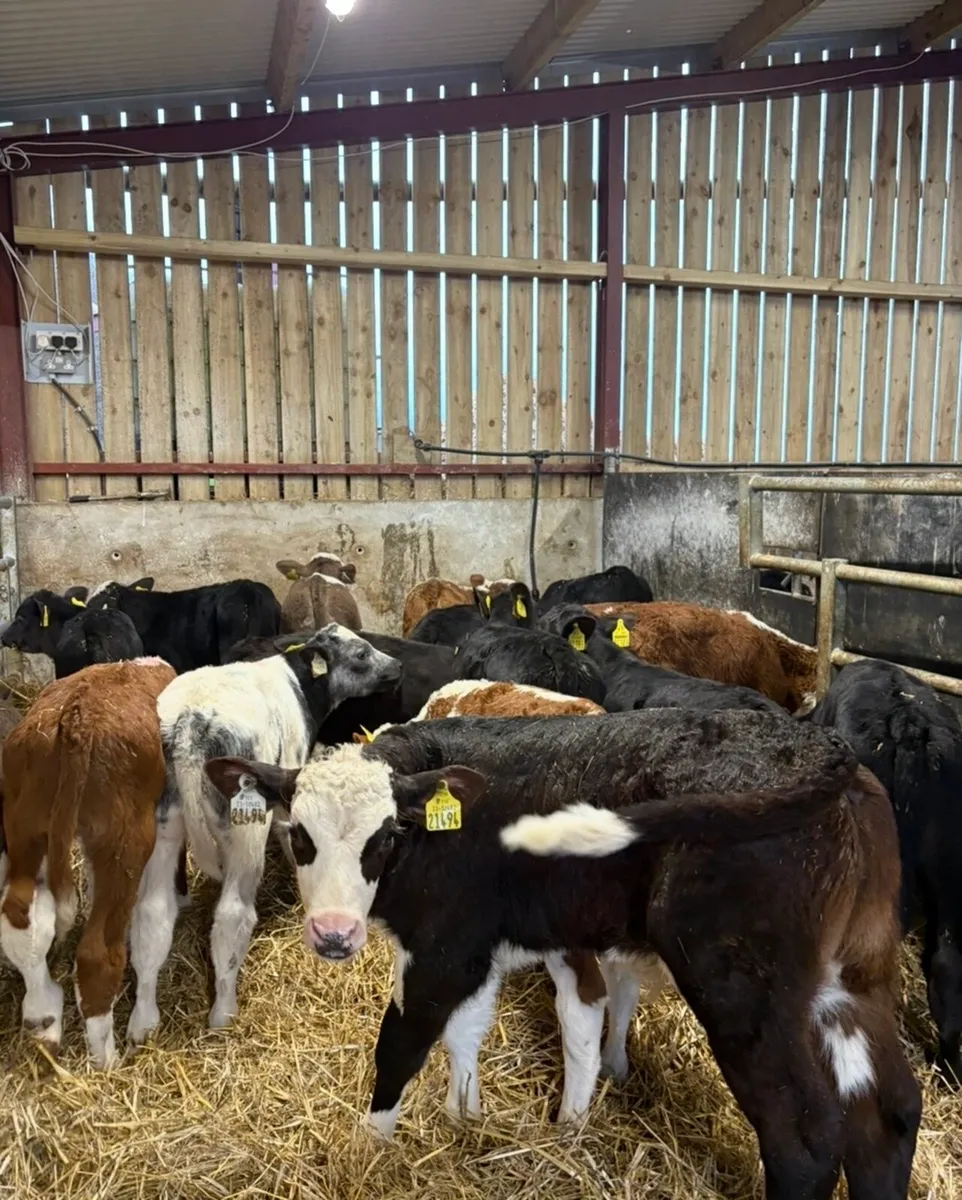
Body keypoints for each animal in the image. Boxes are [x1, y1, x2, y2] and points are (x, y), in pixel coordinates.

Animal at [1, 658, 176, 1067]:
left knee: (21, 913)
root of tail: (74, 719)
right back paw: (105, 1059)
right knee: (98, 954)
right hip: (124, 841)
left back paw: (43, 1019)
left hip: (24, 825)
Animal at [128, 627, 401, 1039]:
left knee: (152, 914)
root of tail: (190, 723)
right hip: (246, 828)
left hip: (164, 823)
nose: (397, 666)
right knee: (232, 915)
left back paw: (143, 1020)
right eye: (360, 654)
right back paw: (223, 1011)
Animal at [203, 707, 919, 1200]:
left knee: (805, 1137)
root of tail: (819, 751)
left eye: (384, 837)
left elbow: (401, 1044)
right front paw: (465, 1115)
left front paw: (369, 1150)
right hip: (855, 976)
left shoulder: (444, 949)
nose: (333, 933)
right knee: (888, 1110)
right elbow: (467, 1031)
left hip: (742, 987)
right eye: (299, 834)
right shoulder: (483, 944)